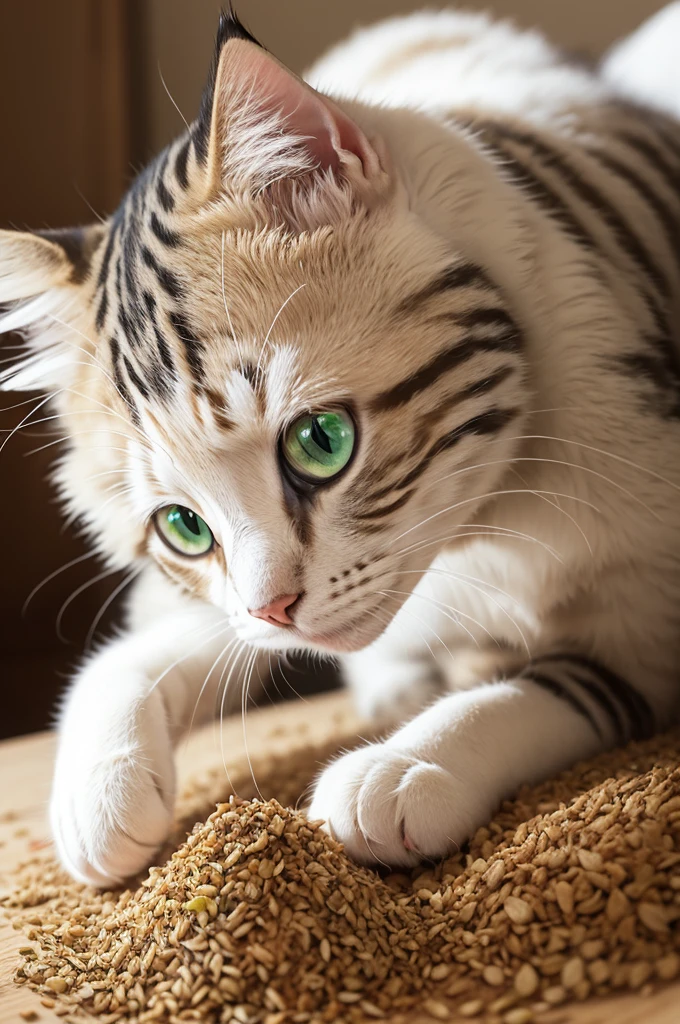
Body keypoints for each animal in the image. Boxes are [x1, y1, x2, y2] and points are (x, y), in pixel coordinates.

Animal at [1, 4, 680, 888]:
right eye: (183, 526)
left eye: (320, 441)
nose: (276, 608)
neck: (476, 534)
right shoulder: (221, 604)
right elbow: (138, 650)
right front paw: (97, 789)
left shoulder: (650, 622)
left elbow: (544, 692)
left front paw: (404, 768)